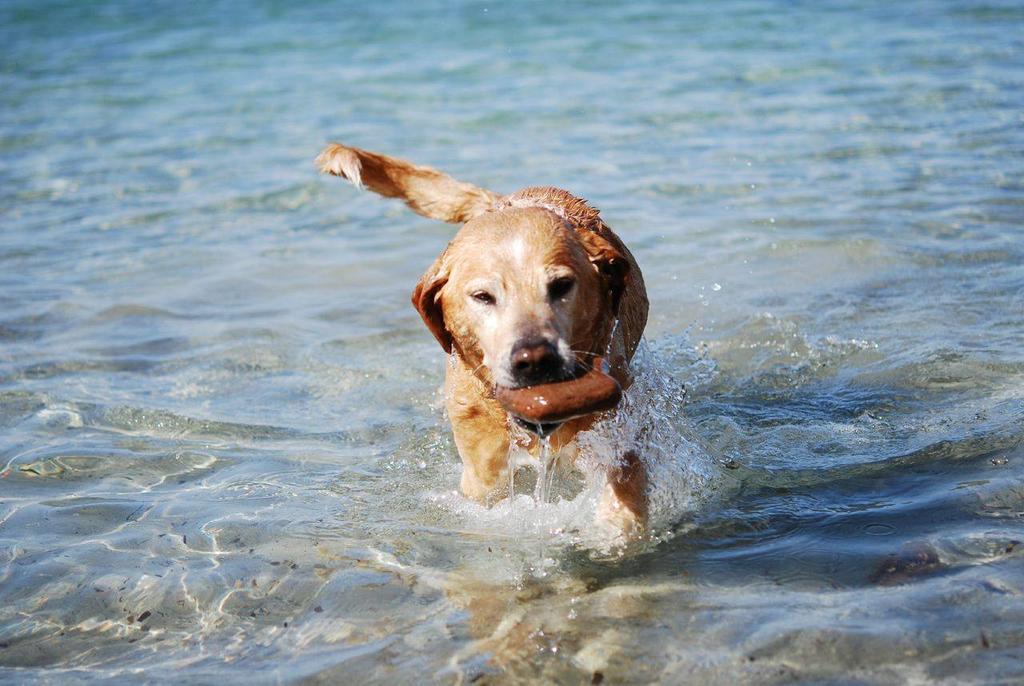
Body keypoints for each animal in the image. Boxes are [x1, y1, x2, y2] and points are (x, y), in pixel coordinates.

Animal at [315, 142, 647, 536]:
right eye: (482, 297)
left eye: (561, 285)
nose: (535, 359)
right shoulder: (482, 471)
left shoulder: (615, 432)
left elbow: (624, 487)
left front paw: (613, 527)